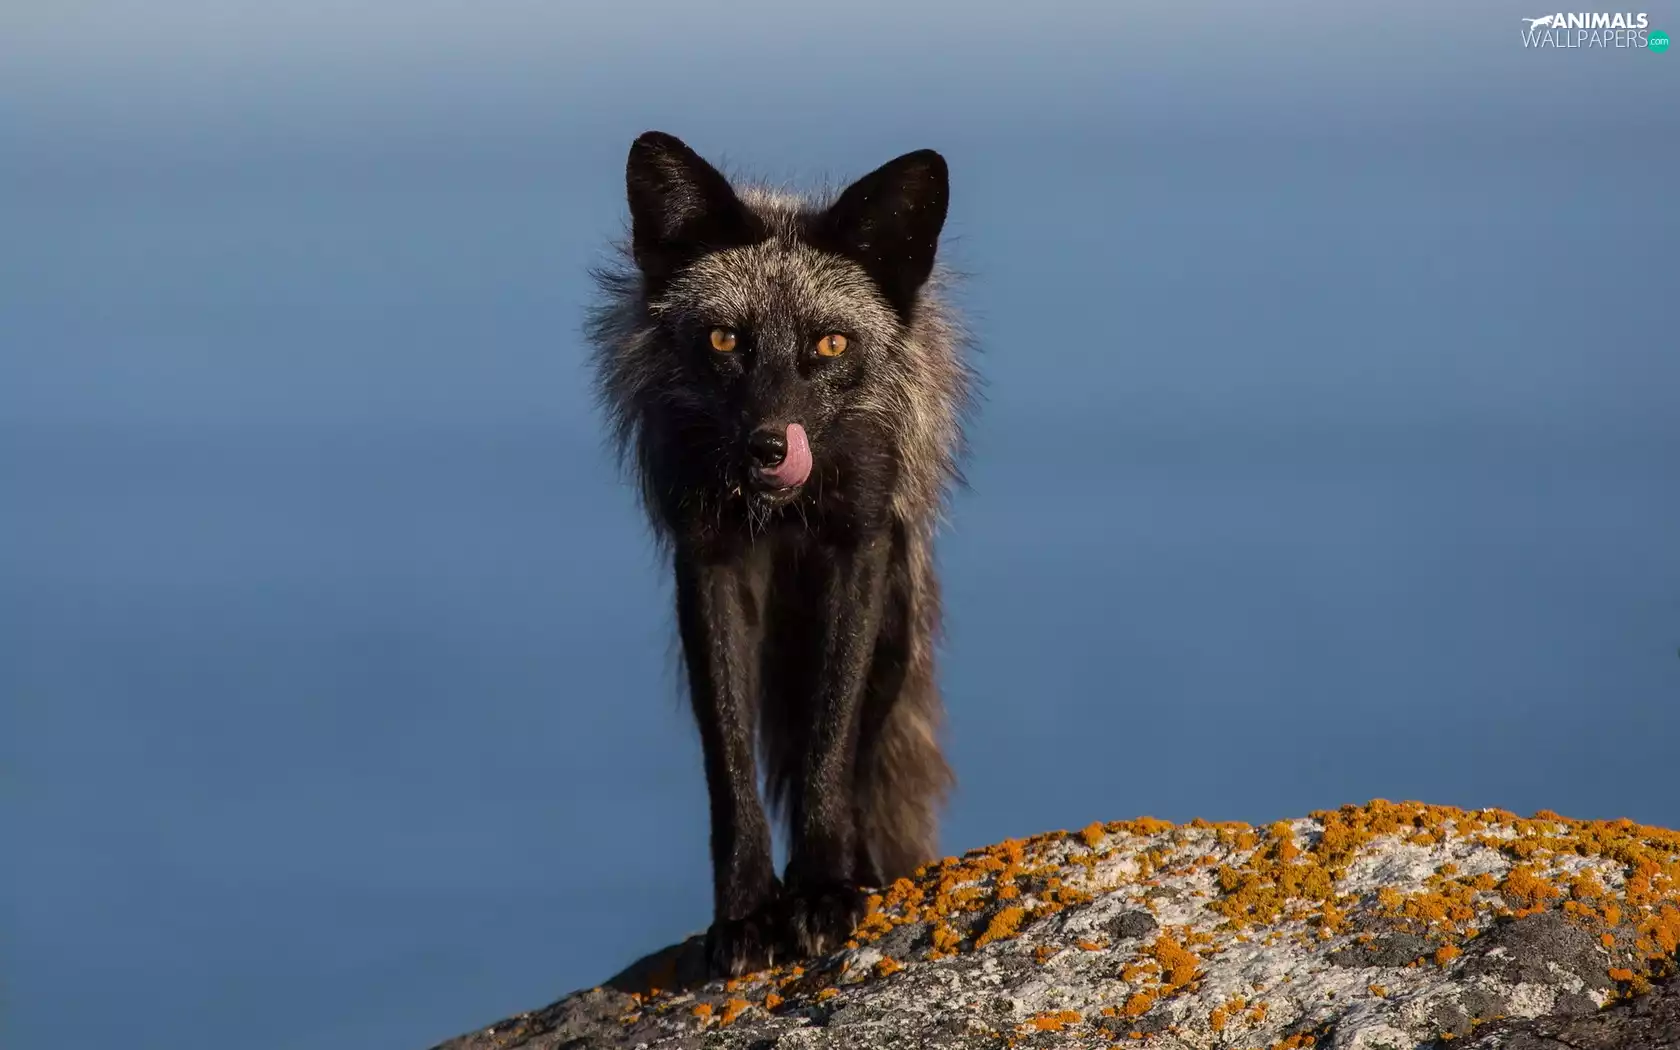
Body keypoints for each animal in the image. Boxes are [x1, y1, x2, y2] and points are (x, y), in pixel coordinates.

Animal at [585, 131, 977, 977]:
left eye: (829, 343)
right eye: (724, 339)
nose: (768, 447)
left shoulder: (855, 548)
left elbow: (829, 741)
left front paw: (824, 890)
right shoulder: (708, 563)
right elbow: (728, 764)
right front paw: (744, 914)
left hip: (896, 624)